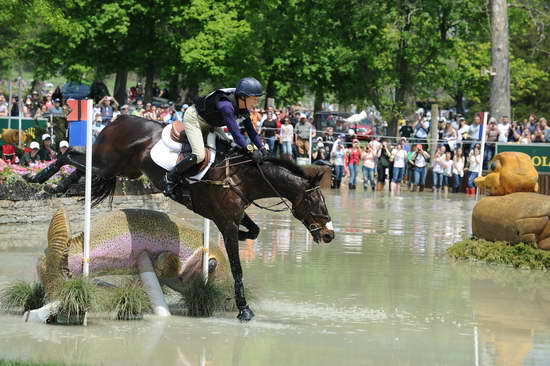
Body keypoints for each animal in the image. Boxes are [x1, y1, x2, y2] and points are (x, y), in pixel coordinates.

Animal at [24, 114, 336, 320]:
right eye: (314, 200)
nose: (329, 234)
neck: (241, 177)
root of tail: (118, 118)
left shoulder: (233, 215)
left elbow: (254, 231)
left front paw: (245, 238)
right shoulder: (225, 221)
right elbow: (237, 267)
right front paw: (244, 309)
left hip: (122, 169)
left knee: (79, 159)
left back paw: (60, 185)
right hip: (107, 164)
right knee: (69, 155)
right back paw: (39, 179)